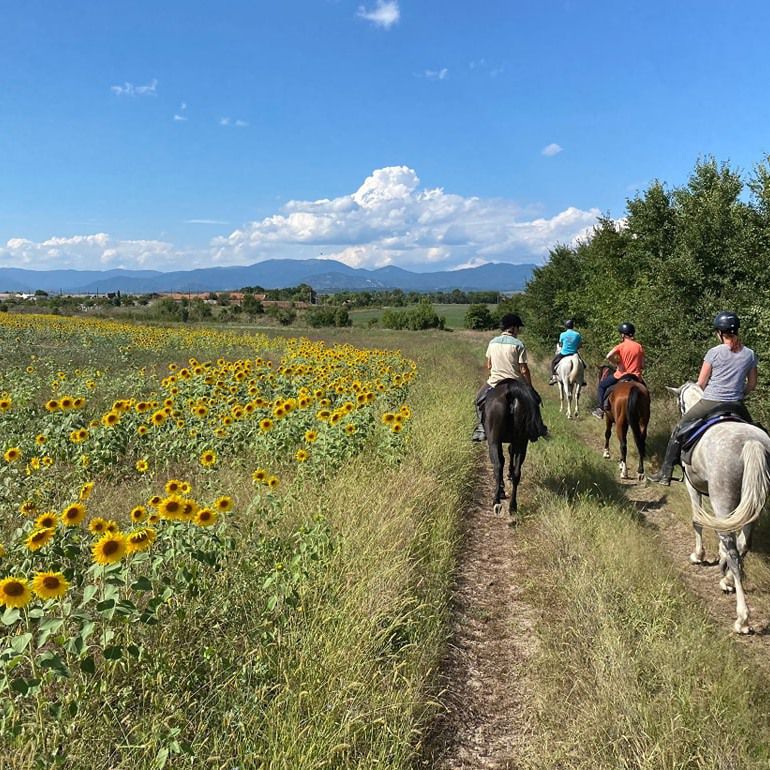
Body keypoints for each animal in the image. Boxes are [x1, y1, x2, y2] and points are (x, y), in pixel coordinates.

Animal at [480, 380, 544, 516]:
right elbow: (510, 455)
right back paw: (513, 506)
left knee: (498, 466)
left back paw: (497, 500)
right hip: (522, 442)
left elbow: (502, 460)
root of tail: (511, 393)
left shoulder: (497, 442)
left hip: (494, 441)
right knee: (517, 473)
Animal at [660, 380, 768, 632]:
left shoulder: (692, 486)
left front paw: (698, 555)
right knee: (742, 543)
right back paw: (727, 579)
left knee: (734, 549)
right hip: (753, 502)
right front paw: (719, 559)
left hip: (723, 496)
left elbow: (697, 521)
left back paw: (742, 618)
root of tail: (752, 443)